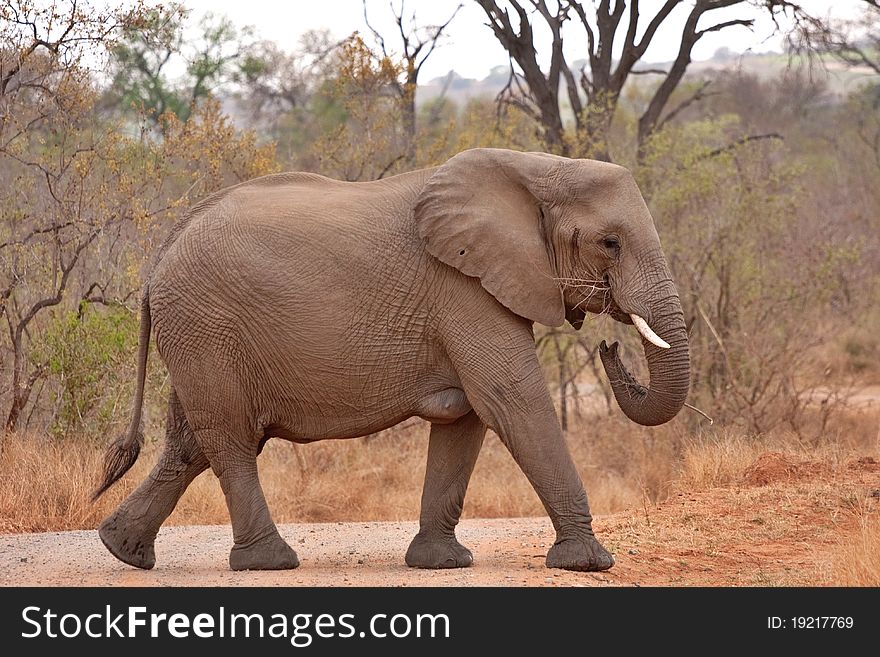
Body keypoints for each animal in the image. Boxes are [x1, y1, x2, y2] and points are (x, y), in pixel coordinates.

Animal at [93, 146, 692, 572]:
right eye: (610, 243)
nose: (610, 345)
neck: (535, 167)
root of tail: (161, 252)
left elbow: (466, 419)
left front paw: (442, 563)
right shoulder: (463, 289)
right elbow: (511, 402)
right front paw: (588, 563)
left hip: (196, 333)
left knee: (190, 443)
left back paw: (123, 551)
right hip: (206, 326)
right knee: (231, 439)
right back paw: (269, 562)